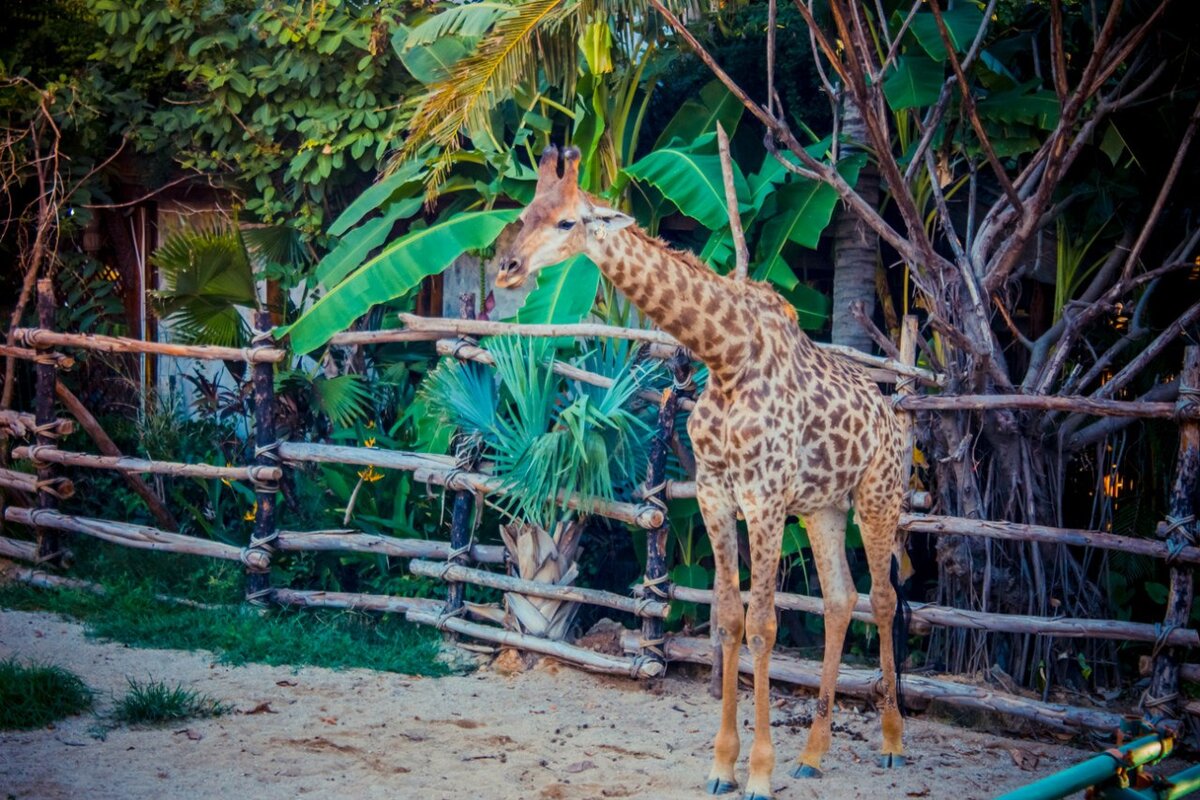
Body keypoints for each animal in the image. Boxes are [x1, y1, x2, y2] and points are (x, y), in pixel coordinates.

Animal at [499, 146, 907, 800]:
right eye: (524, 213)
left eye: (566, 222)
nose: (508, 268)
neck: (726, 355)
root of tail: (895, 415)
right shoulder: (718, 494)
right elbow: (729, 620)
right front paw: (722, 767)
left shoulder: (764, 498)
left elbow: (764, 625)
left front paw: (759, 774)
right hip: (823, 507)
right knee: (842, 599)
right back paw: (813, 755)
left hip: (878, 495)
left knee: (885, 598)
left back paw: (892, 743)